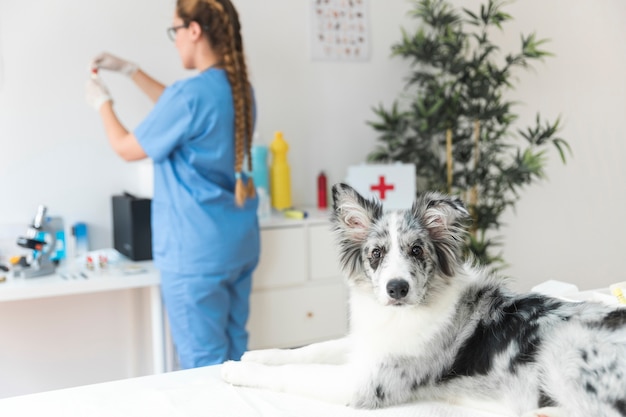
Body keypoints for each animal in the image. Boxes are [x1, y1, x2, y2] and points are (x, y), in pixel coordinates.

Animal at [221, 184, 624, 416]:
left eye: (417, 250)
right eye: (376, 254)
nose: (396, 289)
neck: (403, 314)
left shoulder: (367, 382)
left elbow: (294, 373)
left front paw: (234, 370)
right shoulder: (365, 344)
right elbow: (312, 349)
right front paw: (254, 355)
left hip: (564, 349)